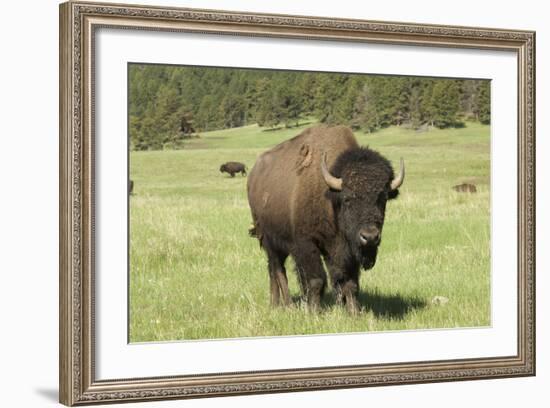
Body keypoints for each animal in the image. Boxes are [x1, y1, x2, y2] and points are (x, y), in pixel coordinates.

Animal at [247, 126, 406, 314]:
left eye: (383, 198)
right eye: (347, 198)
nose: (370, 237)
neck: (331, 199)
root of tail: (253, 176)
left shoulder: (346, 250)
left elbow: (350, 283)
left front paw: (354, 312)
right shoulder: (307, 245)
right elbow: (317, 280)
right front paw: (314, 312)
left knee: (274, 270)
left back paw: (277, 304)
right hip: (269, 240)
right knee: (277, 270)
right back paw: (286, 305)